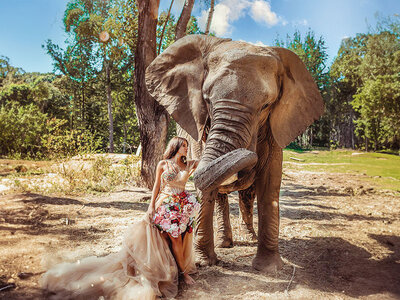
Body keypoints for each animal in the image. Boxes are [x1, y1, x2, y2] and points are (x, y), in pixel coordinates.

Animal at [145, 34, 324, 272]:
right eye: (207, 100)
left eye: (266, 105)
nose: (251, 153)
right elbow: (206, 186)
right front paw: (204, 262)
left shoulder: (274, 129)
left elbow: (269, 183)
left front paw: (268, 268)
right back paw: (224, 243)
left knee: (247, 194)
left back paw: (249, 239)